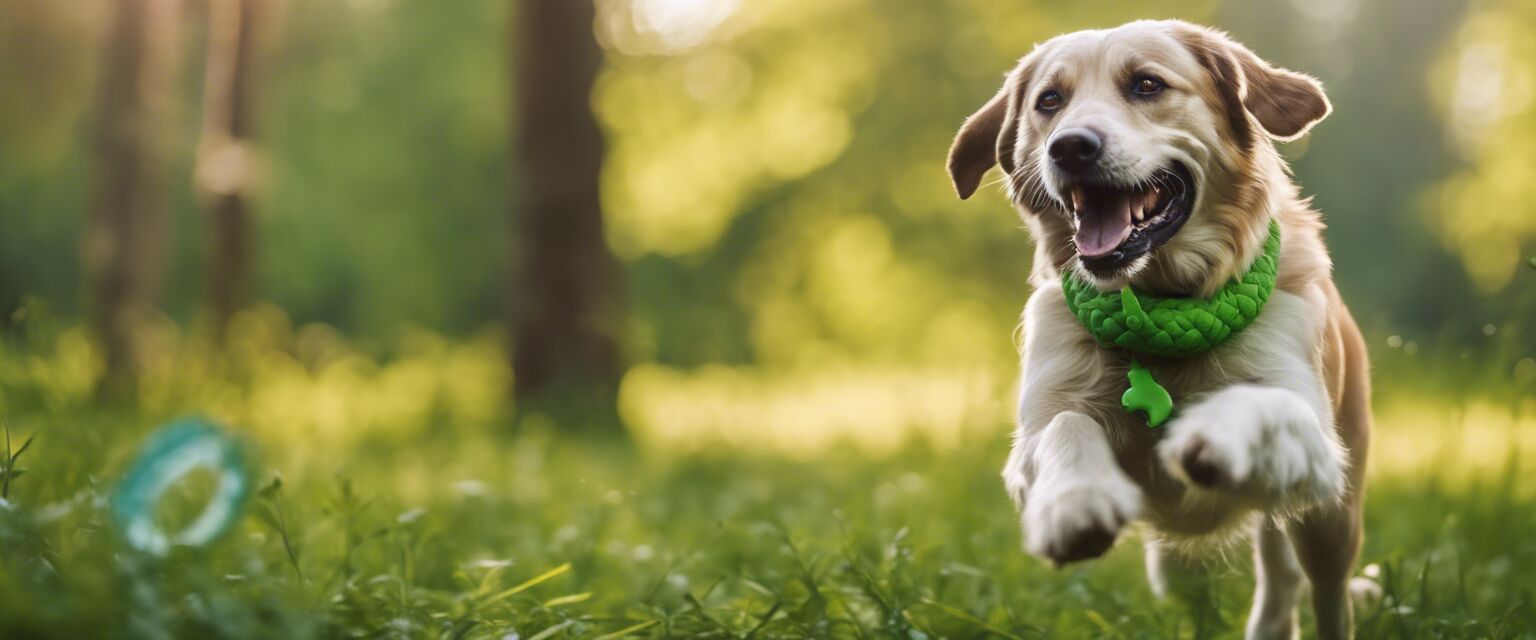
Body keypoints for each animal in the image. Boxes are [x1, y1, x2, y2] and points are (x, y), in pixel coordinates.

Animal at [952, 19, 1376, 638]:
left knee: (1323, 593)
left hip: (1331, 522)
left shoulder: (1315, 438)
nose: (1070, 146)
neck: (1160, 307)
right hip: (1177, 568)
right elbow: (1065, 428)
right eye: (1049, 101)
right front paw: (1076, 503)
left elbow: (1263, 402)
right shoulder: (1039, 426)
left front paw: (1214, 432)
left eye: (1147, 84)